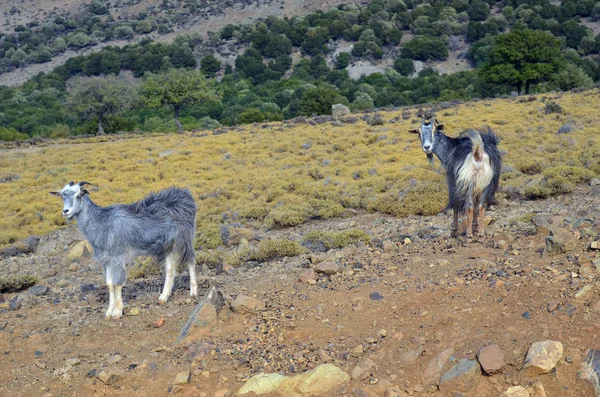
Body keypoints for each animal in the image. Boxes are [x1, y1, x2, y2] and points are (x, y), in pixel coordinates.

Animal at [50, 181, 197, 318]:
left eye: (78, 195)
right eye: (62, 196)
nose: (65, 211)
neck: (101, 222)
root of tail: (187, 196)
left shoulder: (117, 257)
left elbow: (118, 284)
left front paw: (118, 312)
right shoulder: (106, 260)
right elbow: (110, 284)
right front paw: (109, 312)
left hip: (184, 237)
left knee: (190, 260)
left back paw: (193, 292)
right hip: (167, 245)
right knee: (170, 269)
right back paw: (163, 298)